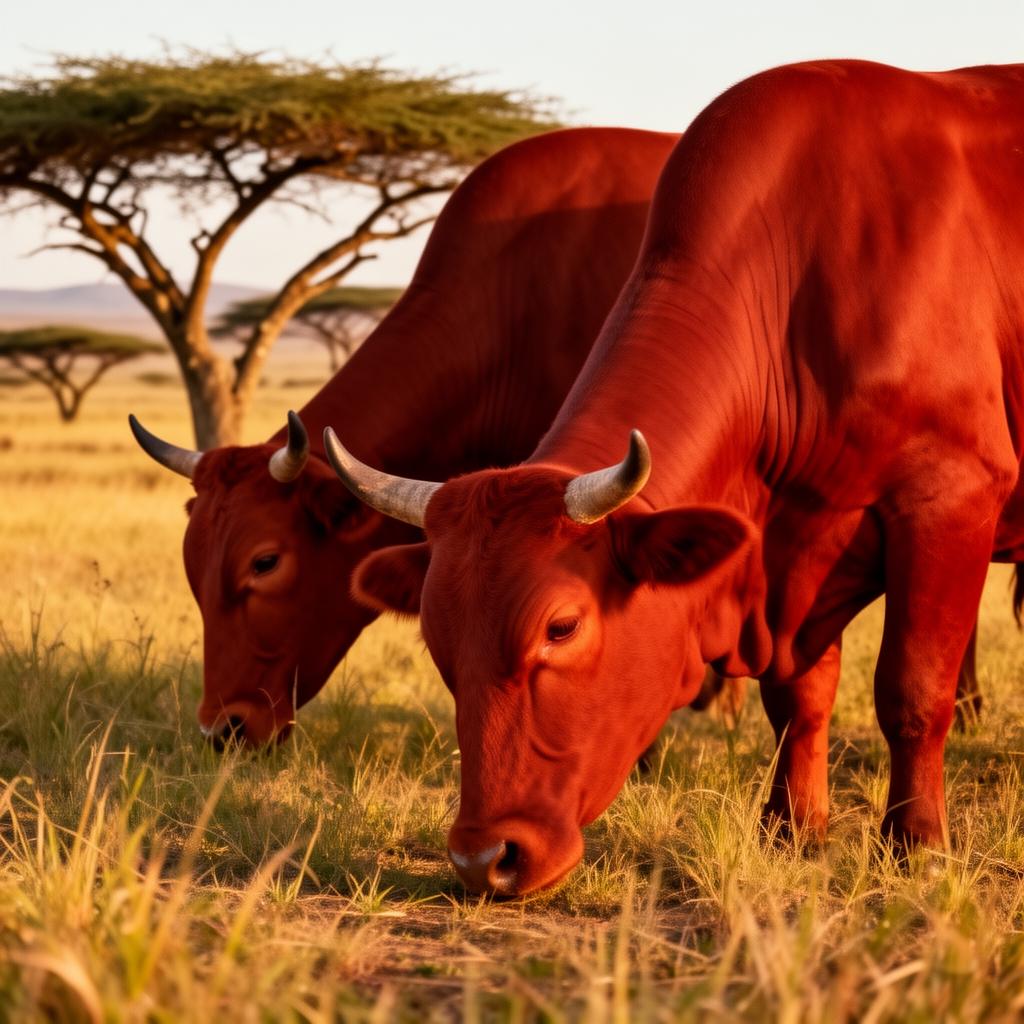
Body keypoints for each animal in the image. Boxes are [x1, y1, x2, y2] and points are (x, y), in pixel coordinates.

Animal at [324, 60, 1024, 894]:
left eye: (562, 627)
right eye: (438, 637)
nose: (483, 857)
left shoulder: (950, 501)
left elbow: (912, 692)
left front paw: (916, 848)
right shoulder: (793, 558)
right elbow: (799, 698)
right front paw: (794, 829)